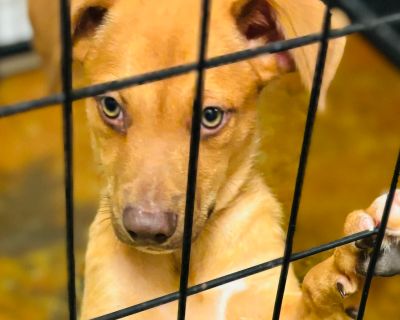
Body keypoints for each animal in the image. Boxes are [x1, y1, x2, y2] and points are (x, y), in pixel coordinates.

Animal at [29, 0, 400, 318]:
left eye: (210, 116)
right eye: (110, 106)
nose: (147, 231)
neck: (186, 267)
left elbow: (311, 295)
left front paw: (347, 258)